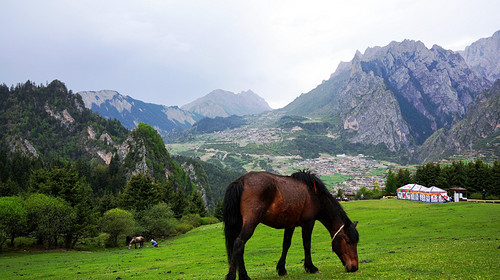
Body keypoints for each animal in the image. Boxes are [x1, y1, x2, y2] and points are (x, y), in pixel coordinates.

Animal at [224, 171, 360, 280]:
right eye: (348, 242)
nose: (354, 267)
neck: (314, 195)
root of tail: (241, 181)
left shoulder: (290, 224)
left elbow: (286, 245)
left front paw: (281, 269)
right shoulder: (308, 222)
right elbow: (307, 244)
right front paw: (311, 267)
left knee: (239, 246)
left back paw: (243, 275)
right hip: (251, 222)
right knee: (239, 243)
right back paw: (233, 276)